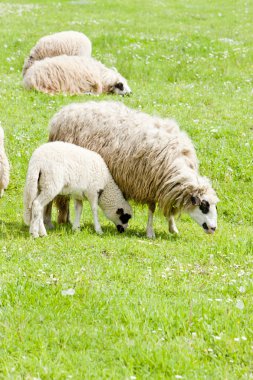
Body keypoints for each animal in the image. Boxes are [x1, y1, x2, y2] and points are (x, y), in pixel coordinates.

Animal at [46, 101, 218, 238]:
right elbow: (151, 209)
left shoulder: (164, 188)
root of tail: (64, 111)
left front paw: (173, 228)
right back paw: (50, 222)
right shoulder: (148, 185)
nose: (213, 228)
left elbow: (168, 210)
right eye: (204, 206)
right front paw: (150, 232)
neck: (174, 163)